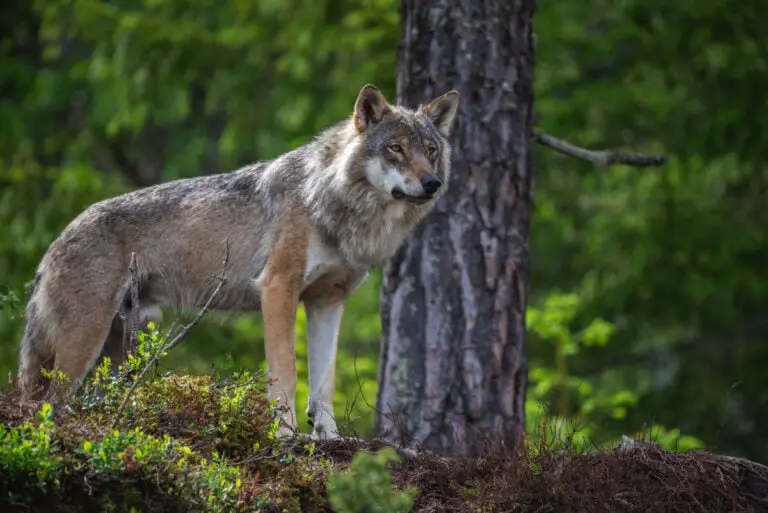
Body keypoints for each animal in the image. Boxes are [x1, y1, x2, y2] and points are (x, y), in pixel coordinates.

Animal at [18, 84, 460, 440]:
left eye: (431, 151)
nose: (432, 183)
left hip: (123, 346)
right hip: (83, 347)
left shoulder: (328, 301)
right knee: (46, 406)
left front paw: (330, 437)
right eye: (396, 148)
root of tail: (55, 243)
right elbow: (287, 373)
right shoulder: (278, 288)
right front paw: (285, 434)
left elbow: (324, 382)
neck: (329, 200)